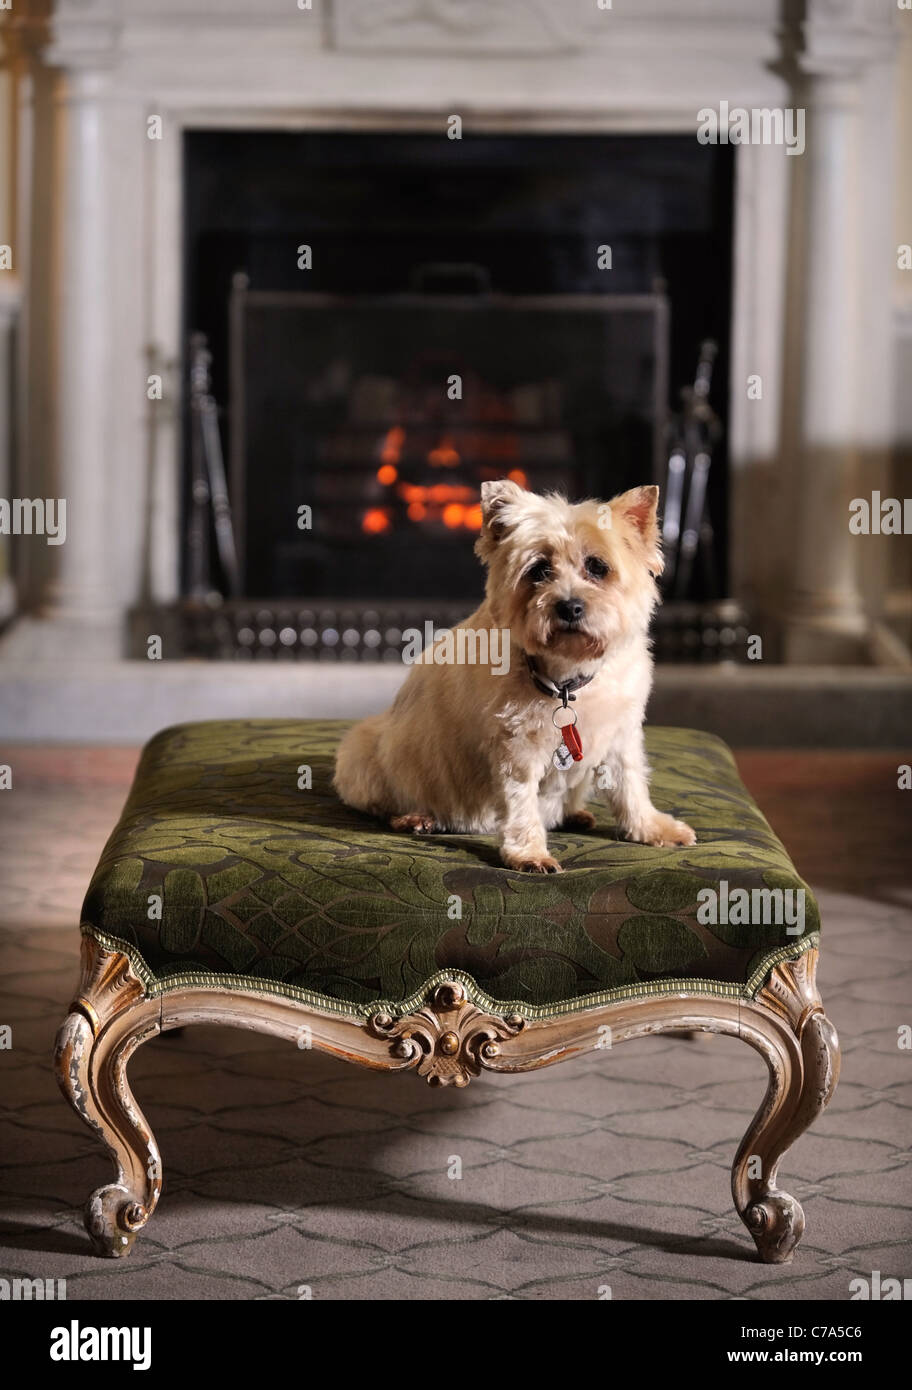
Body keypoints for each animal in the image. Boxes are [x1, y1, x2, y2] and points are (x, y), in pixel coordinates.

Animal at [330, 478, 695, 867]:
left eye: (597, 567)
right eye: (539, 570)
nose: (569, 606)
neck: (568, 678)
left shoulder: (621, 735)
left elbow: (630, 785)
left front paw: (652, 828)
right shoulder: (516, 748)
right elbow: (521, 801)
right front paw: (529, 852)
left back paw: (574, 814)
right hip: (366, 751)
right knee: (381, 800)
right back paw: (414, 817)